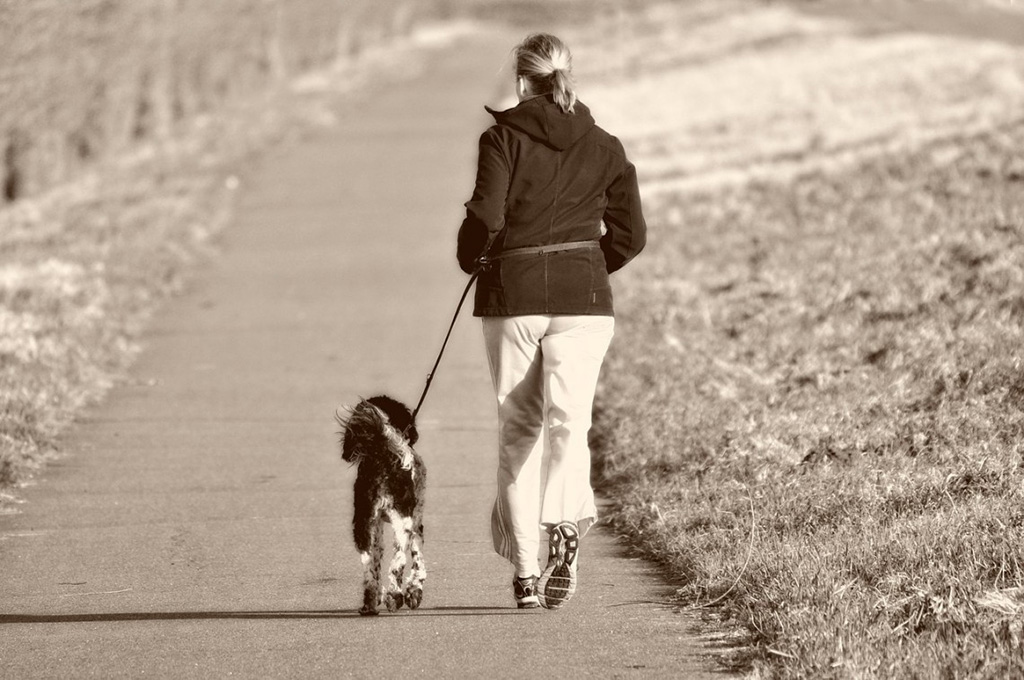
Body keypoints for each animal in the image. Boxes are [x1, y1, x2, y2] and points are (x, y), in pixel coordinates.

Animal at [337, 393, 425, 614]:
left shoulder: (375, 525)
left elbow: (376, 562)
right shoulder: (416, 520)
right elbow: (417, 559)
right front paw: (414, 592)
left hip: (363, 524)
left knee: (368, 568)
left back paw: (370, 602)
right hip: (403, 521)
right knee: (398, 561)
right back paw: (395, 597)